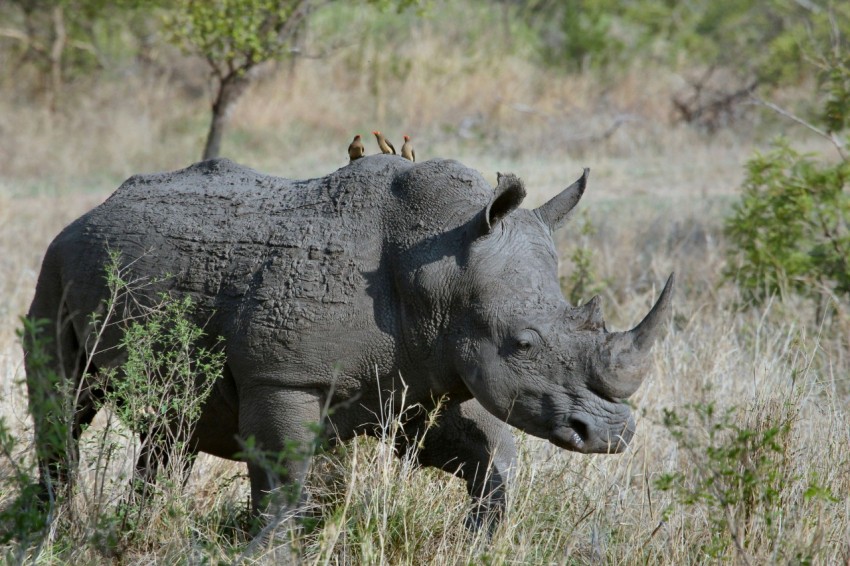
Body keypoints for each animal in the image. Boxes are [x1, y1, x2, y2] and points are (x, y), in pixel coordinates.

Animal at [24, 155, 673, 528]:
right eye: (524, 342)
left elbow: (490, 457)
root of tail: (92, 210)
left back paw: (130, 530)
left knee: (171, 428)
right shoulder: (283, 377)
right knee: (63, 403)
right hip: (55, 262)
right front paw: (269, 549)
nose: (612, 435)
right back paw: (50, 531)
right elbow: (283, 480)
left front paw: (478, 538)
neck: (440, 267)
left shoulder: (421, 374)